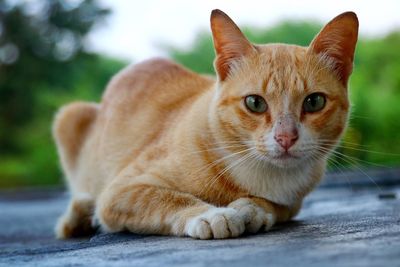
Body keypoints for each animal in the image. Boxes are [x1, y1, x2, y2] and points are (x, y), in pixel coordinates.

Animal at [54, 9, 360, 241]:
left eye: (314, 102)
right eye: (255, 103)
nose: (286, 137)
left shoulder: (292, 202)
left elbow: (273, 206)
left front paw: (252, 209)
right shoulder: (122, 191)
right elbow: (167, 199)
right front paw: (213, 214)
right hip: (69, 116)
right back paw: (79, 216)